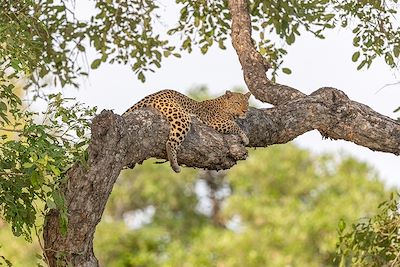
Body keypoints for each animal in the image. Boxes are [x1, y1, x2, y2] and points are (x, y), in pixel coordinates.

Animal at [123, 90, 252, 174]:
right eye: (237, 103)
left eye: (246, 103)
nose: (245, 111)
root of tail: (152, 95)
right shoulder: (216, 122)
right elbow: (235, 125)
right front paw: (245, 137)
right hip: (181, 116)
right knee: (170, 142)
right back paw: (175, 165)